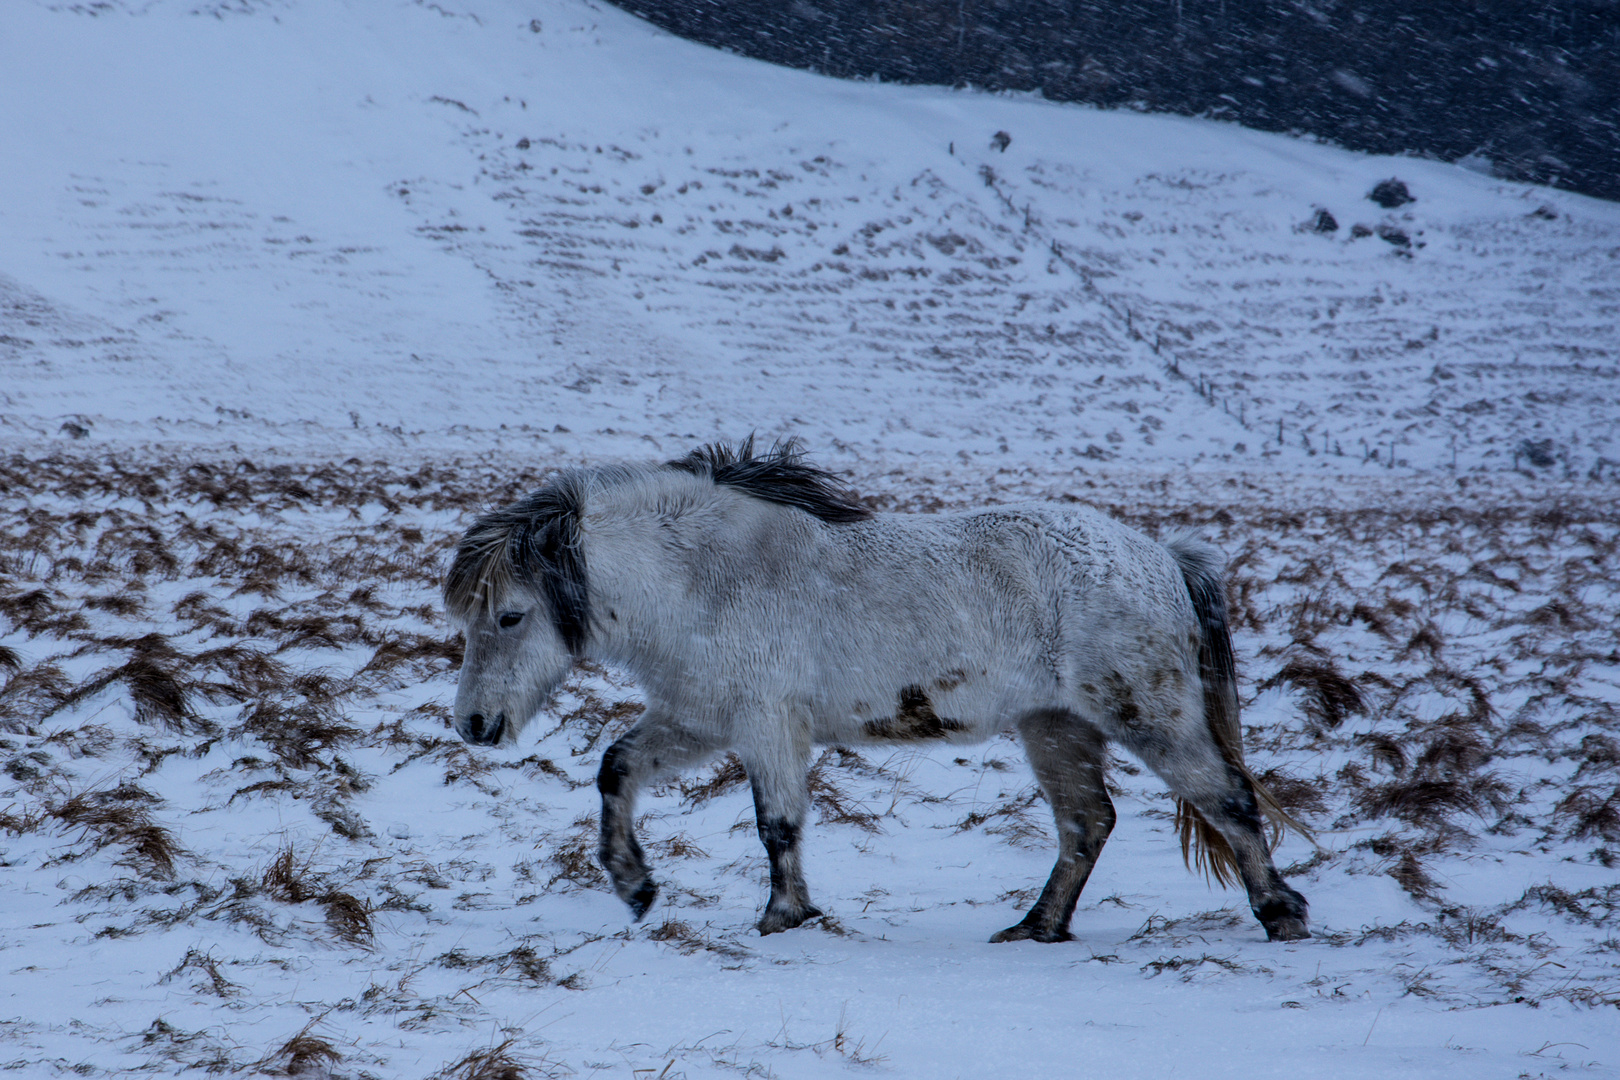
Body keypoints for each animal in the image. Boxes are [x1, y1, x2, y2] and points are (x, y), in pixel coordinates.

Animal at [447, 443, 1315, 939]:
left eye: (511, 615)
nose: (475, 725)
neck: (703, 579)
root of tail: (1164, 557)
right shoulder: (698, 721)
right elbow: (617, 769)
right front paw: (634, 888)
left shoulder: (766, 728)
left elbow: (778, 826)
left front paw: (783, 918)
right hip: (1054, 727)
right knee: (1086, 823)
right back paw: (1036, 927)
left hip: (1149, 714)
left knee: (1228, 798)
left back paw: (1281, 914)